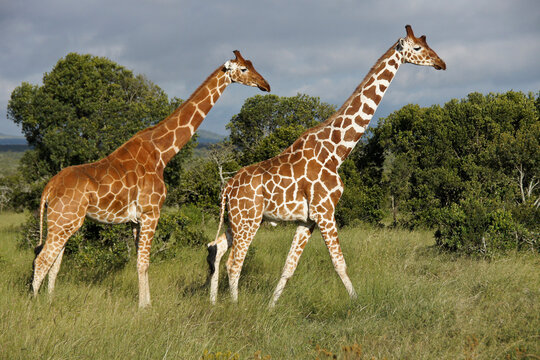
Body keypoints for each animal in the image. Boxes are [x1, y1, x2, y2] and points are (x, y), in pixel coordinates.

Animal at [29, 51, 270, 310]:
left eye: (252, 64)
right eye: (244, 69)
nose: (265, 85)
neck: (162, 153)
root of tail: (48, 188)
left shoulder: (136, 220)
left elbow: (139, 263)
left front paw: (144, 303)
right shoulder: (151, 212)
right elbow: (145, 263)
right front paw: (145, 307)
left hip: (65, 222)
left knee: (53, 261)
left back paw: (50, 301)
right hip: (64, 220)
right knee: (42, 259)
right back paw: (34, 305)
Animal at [208, 25, 448, 306]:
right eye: (418, 48)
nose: (441, 63)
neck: (337, 151)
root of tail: (227, 189)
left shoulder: (308, 220)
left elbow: (288, 267)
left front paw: (270, 307)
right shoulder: (325, 211)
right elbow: (339, 263)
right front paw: (358, 304)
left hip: (235, 219)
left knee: (217, 249)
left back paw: (213, 302)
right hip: (249, 219)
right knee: (234, 263)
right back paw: (235, 306)